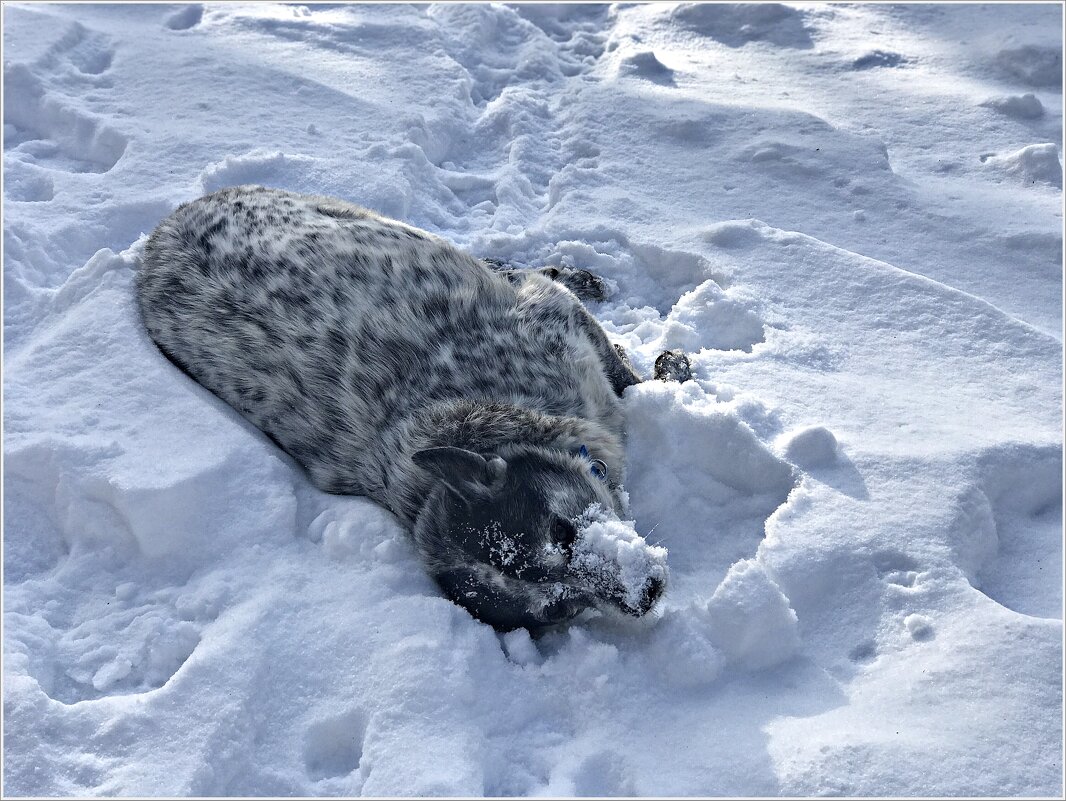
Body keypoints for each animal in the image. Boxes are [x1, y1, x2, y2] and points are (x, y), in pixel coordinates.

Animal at [137, 186, 686, 631]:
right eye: (558, 606)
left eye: (561, 531)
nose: (644, 594)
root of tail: (157, 234)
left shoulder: (555, 317)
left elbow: (623, 373)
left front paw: (671, 372)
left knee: (513, 266)